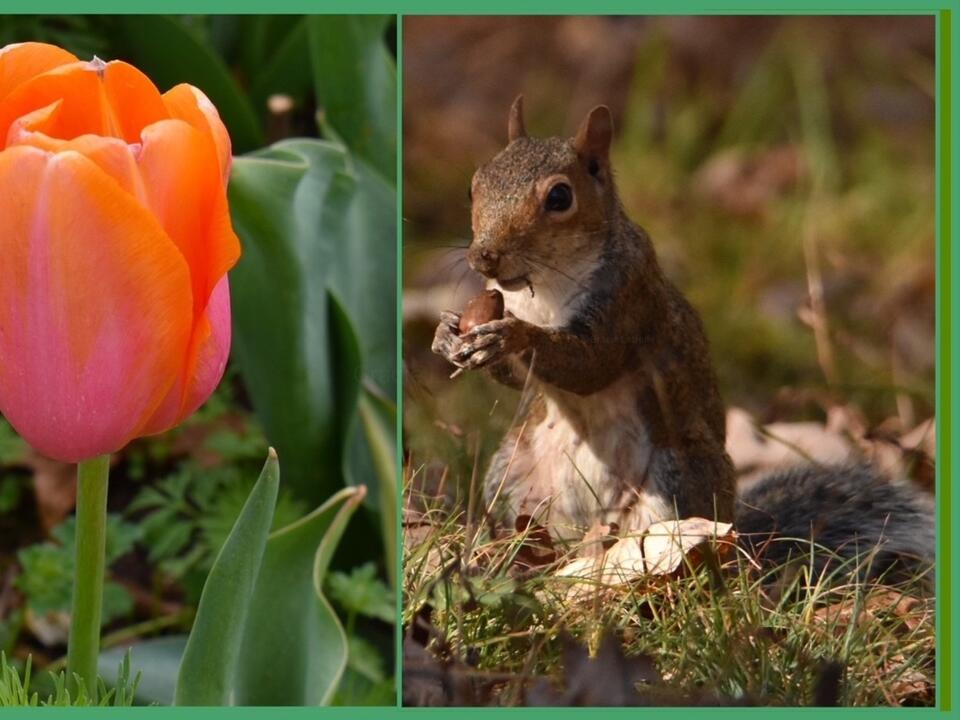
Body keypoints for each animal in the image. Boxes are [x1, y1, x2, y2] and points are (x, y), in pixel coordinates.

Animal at [431, 96, 933, 584]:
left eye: (559, 196)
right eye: (474, 186)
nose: (484, 256)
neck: (544, 286)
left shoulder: (629, 296)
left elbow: (591, 364)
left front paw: (509, 335)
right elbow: (521, 380)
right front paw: (447, 334)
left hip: (674, 481)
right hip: (513, 476)